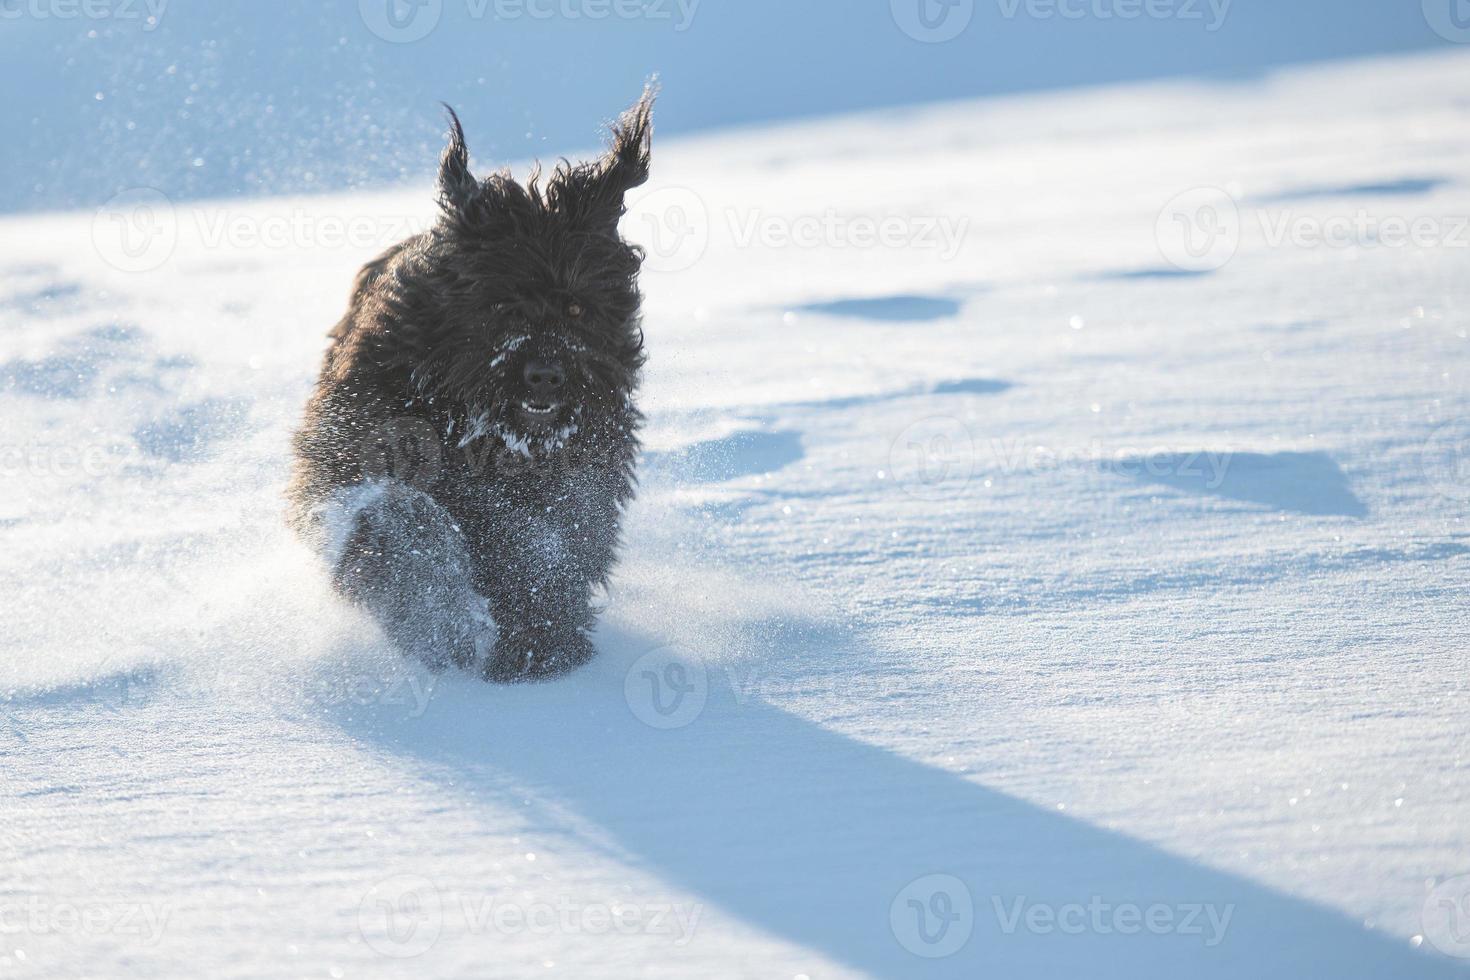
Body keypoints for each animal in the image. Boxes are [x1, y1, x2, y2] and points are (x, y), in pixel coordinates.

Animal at [288, 89, 655, 681]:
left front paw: (542, 643)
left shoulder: (584, 474)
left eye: (577, 308)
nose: (545, 375)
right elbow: (404, 522)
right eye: (501, 305)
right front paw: (439, 620)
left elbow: (552, 551)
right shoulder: (360, 447)